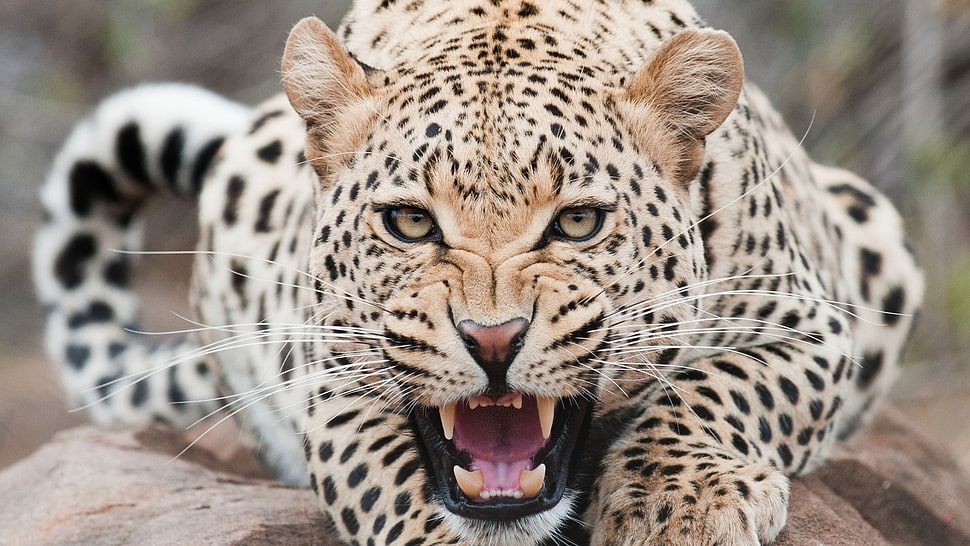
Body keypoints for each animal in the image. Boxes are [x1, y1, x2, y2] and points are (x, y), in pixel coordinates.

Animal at [34, 0, 923, 544]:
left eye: (577, 222)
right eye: (409, 223)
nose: (493, 340)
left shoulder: (811, 325)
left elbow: (721, 388)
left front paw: (679, 507)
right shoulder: (333, 384)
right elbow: (393, 488)